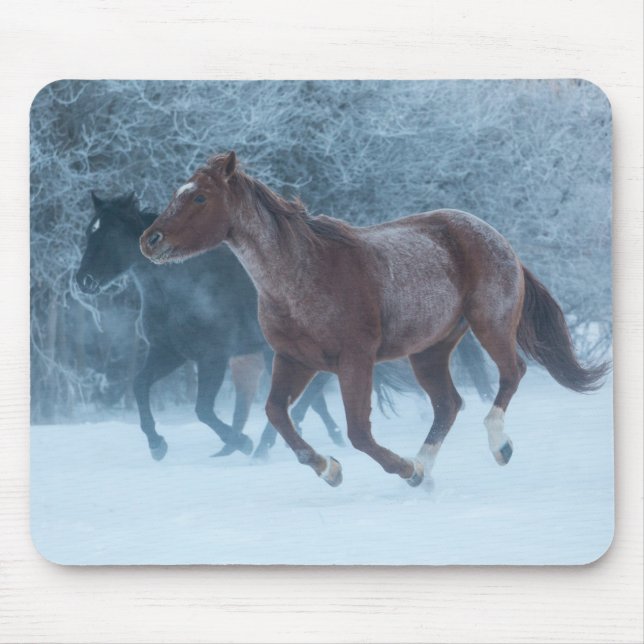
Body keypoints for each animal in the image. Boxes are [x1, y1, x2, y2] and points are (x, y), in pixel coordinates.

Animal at [76, 192, 345, 460]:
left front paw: (240, 442)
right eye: (89, 232)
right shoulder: (168, 353)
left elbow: (203, 409)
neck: (175, 296)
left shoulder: (212, 357)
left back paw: (269, 446)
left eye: (111, 234)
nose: (83, 280)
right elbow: (140, 385)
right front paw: (156, 444)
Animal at [141, 152, 608, 488]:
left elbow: (358, 432)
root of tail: (495, 236)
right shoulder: (294, 360)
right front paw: (329, 468)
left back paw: (495, 448)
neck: (301, 277)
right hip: (430, 350)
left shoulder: (355, 360)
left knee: (512, 373)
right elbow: (276, 413)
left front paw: (394, 468)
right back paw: (424, 468)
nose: (150, 240)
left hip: (490, 323)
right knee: (448, 404)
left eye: (199, 197)